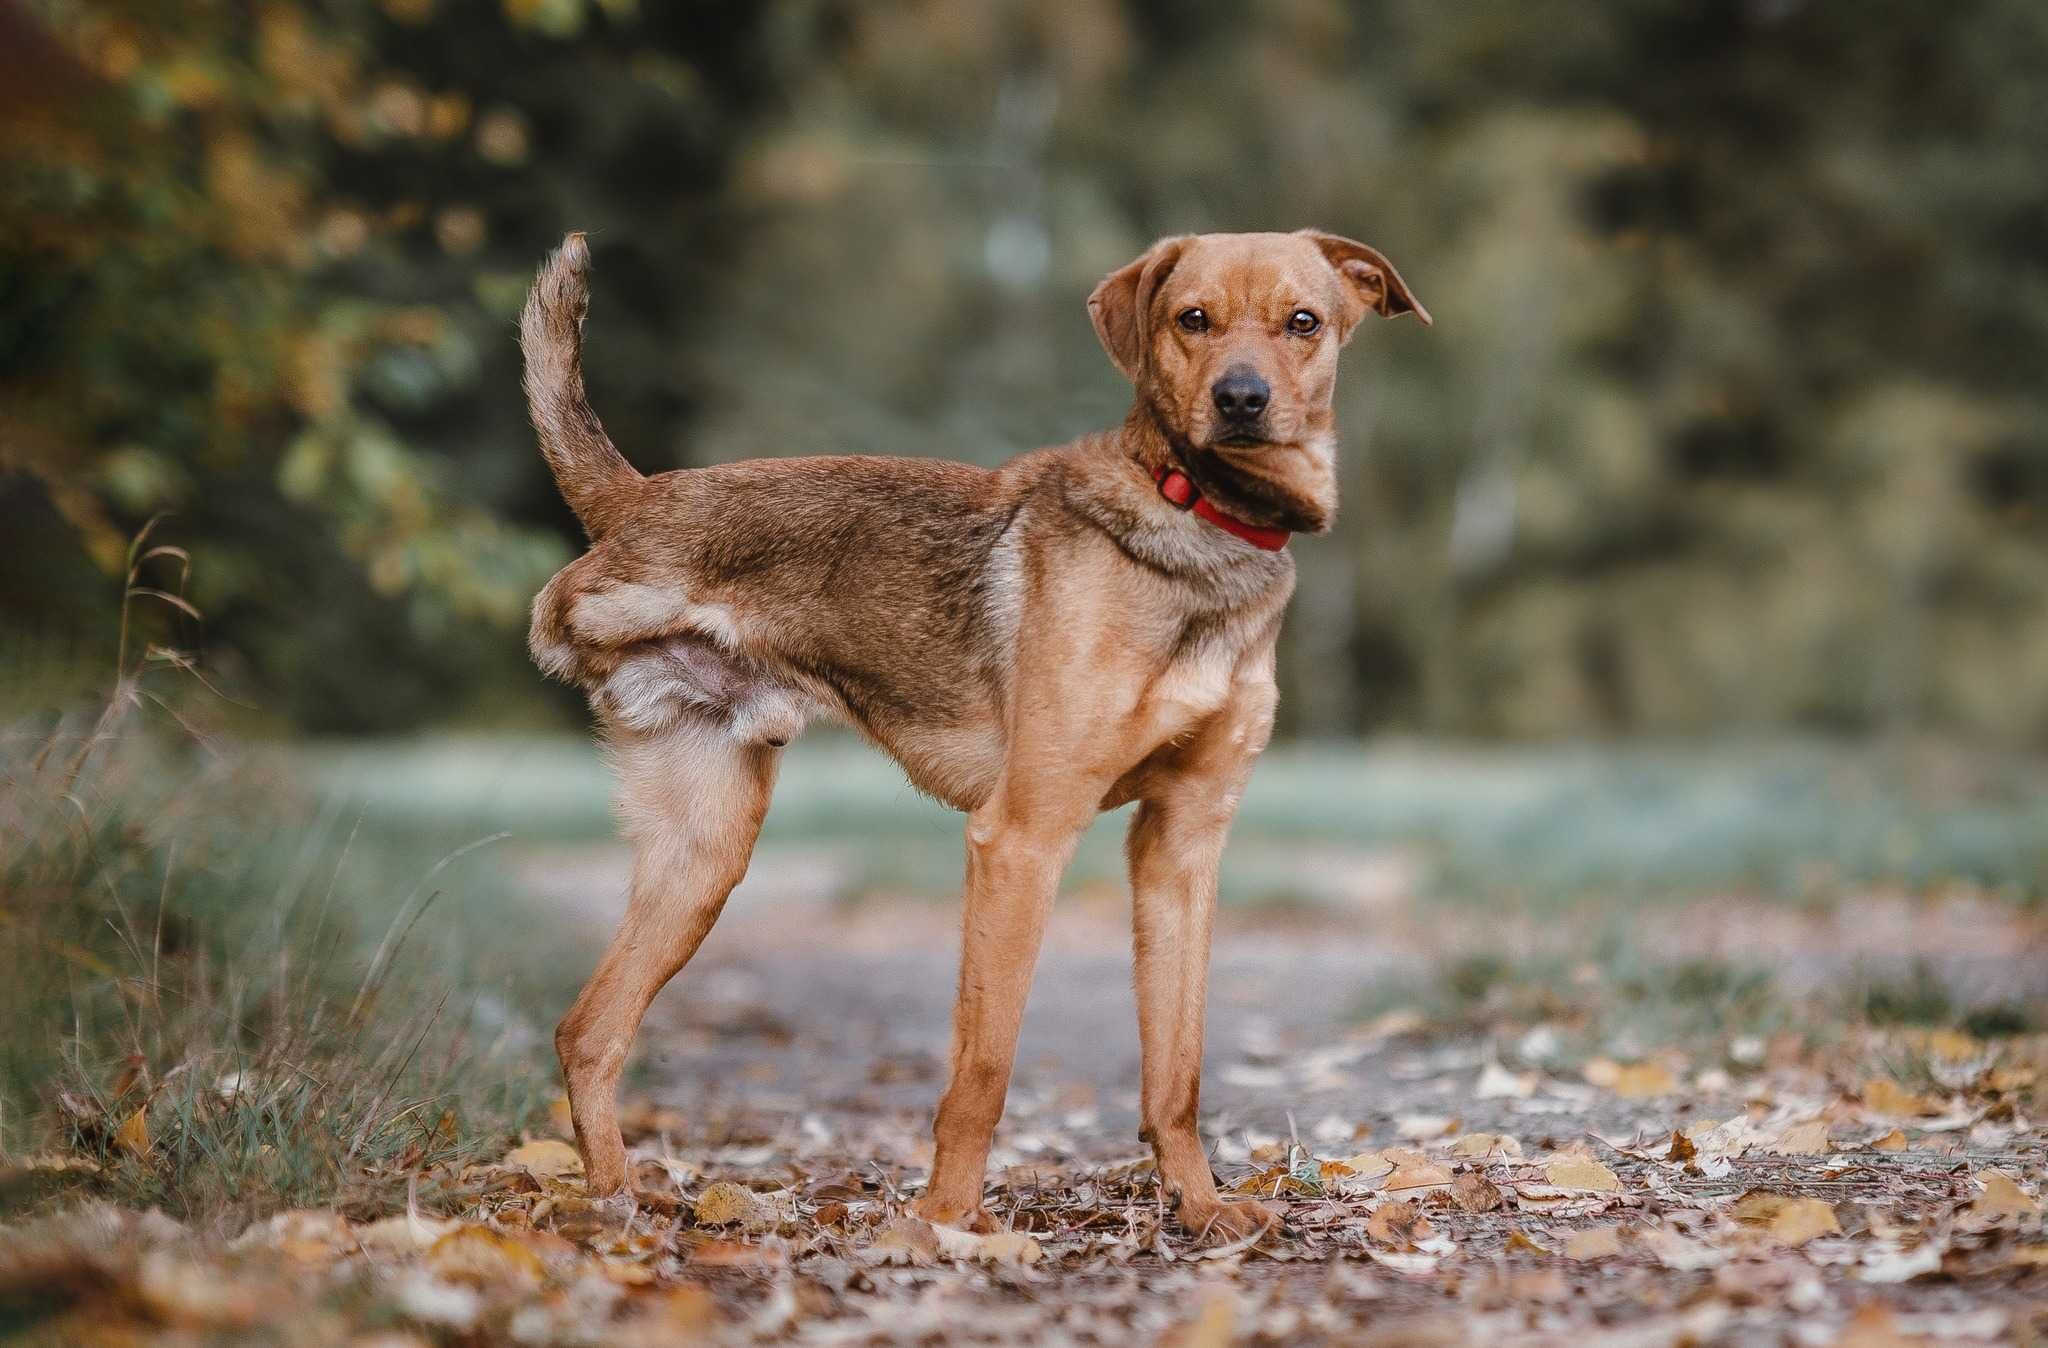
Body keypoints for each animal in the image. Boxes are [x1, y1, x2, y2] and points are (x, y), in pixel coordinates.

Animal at [520, 228, 1433, 1237]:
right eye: (1191, 319)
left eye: (1302, 323)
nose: (1241, 400)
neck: (1197, 519)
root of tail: (640, 500)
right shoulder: (1021, 840)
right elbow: (984, 1072)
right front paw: (949, 1225)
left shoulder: (1182, 847)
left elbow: (1177, 1071)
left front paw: (1198, 1209)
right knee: (593, 1032)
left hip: (702, 855)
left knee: (588, 1032)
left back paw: (617, 1201)